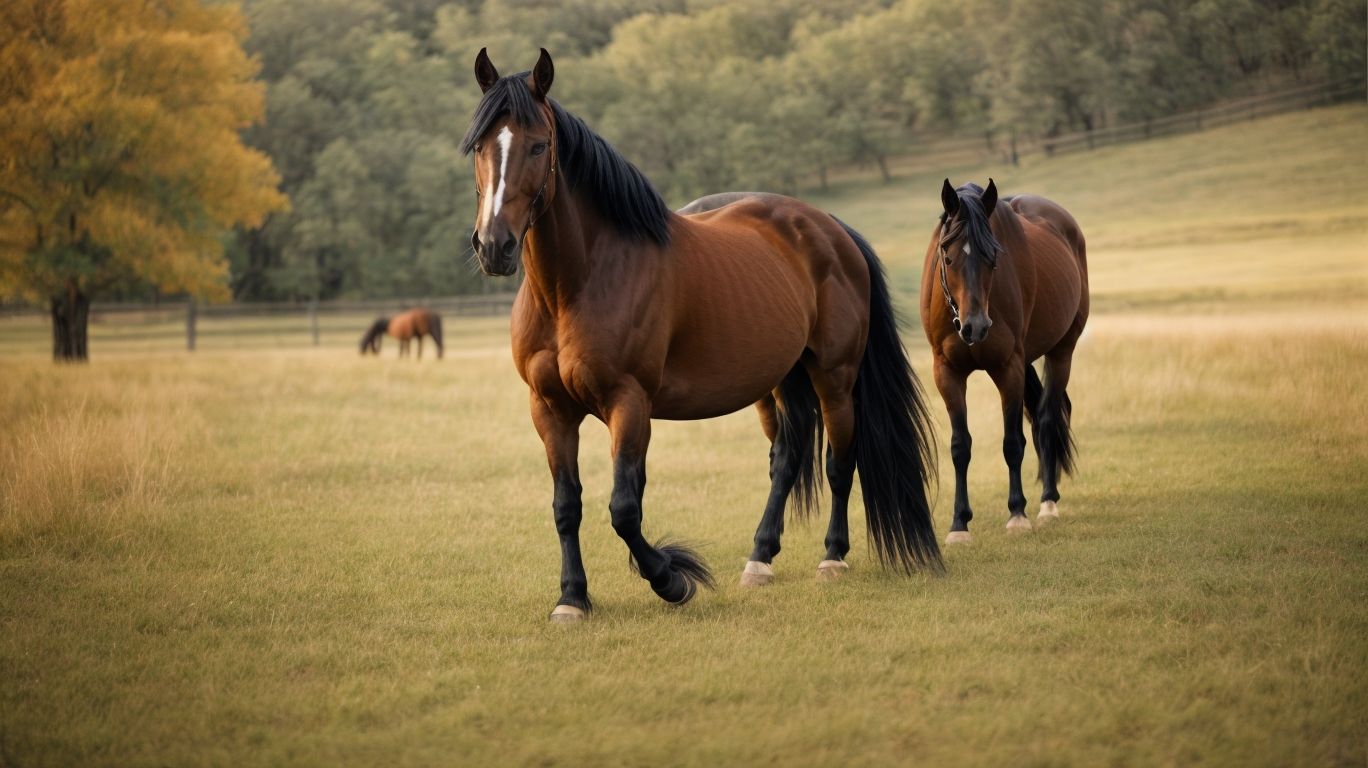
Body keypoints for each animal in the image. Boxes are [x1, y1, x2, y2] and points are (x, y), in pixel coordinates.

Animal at [463, 48, 941, 621]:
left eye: (538, 145)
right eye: (479, 146)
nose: (494, 245)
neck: (578, 284)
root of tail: (830, 227)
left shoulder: (629, 403)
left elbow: (624, 509)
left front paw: (672, 578)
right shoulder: (549, 408)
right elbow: (566, 505)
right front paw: (572, 599)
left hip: (834, 378)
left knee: (838, 461)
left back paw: (832, 556)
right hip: (779, 380)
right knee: (786, 459)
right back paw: (759, 559)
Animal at [919, 178, 1089, 544]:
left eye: (993, 256)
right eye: (948, 256)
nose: (975, 327)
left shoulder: (1008, 368)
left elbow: (1012, 442)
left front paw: (1017, 514)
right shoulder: (947, 373)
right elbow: (960, 446)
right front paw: (959, 524)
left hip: (1062, 352)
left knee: (1047, 418)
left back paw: (1048, 503)